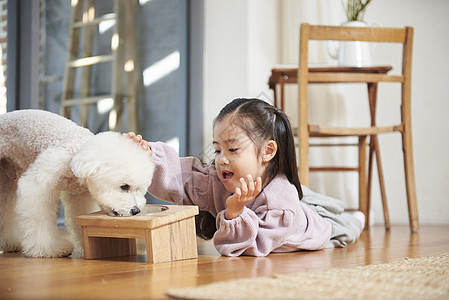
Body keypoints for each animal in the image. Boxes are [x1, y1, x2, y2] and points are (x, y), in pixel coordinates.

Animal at [0, 110, 154, 258]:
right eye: (124, 186)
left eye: (141, 190)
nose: (136, 211)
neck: (77, 155)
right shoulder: (40, 183)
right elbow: (39, 218)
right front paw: (50, 249)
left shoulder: (80, 196)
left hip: (7, 183)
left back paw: (11, 243)